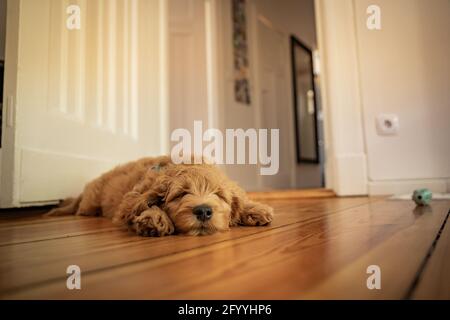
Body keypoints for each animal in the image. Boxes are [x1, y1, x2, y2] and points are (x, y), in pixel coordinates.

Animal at [48, 156, 274, 236]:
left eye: (219, 195)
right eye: (181, 194)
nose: (203, 211)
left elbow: (241, 198)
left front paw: (256, 209)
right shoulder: (129, 201)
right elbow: (142, 206)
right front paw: (155, 219)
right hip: (90, 203)